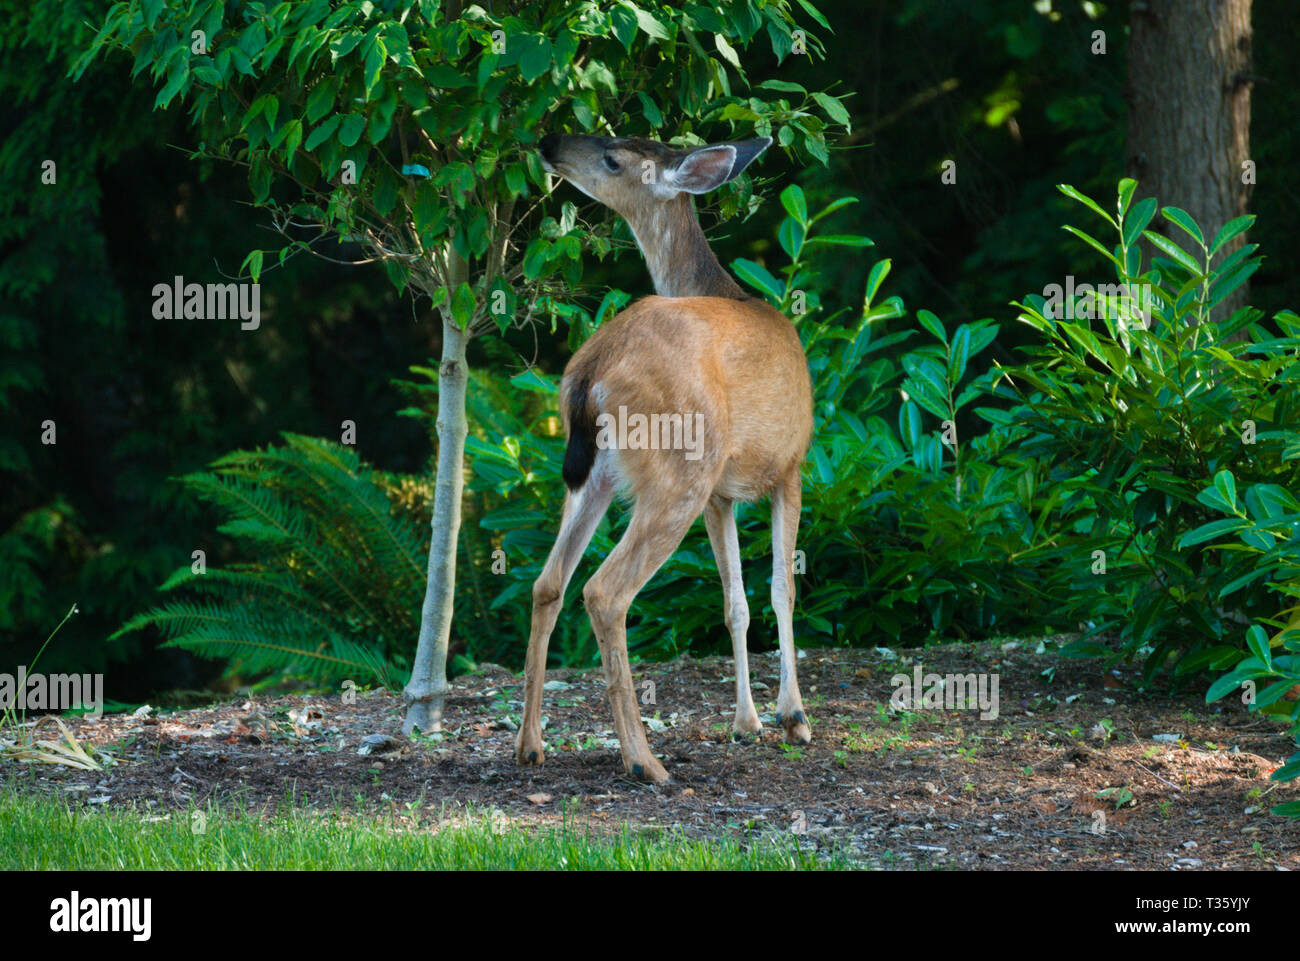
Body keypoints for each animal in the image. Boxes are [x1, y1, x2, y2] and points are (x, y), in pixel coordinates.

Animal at [517, 133, 811, 780]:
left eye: (612, 155)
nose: (548, 142)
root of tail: (591, 370)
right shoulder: (790, 464)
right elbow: (781, 589)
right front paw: (793, 718)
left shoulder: (728, 492)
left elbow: (737, 602)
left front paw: (748, 721)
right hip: (679, 469)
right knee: (604, 592)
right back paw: (643, 762)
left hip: (597, 476)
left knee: (548, 582)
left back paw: (530, 745)